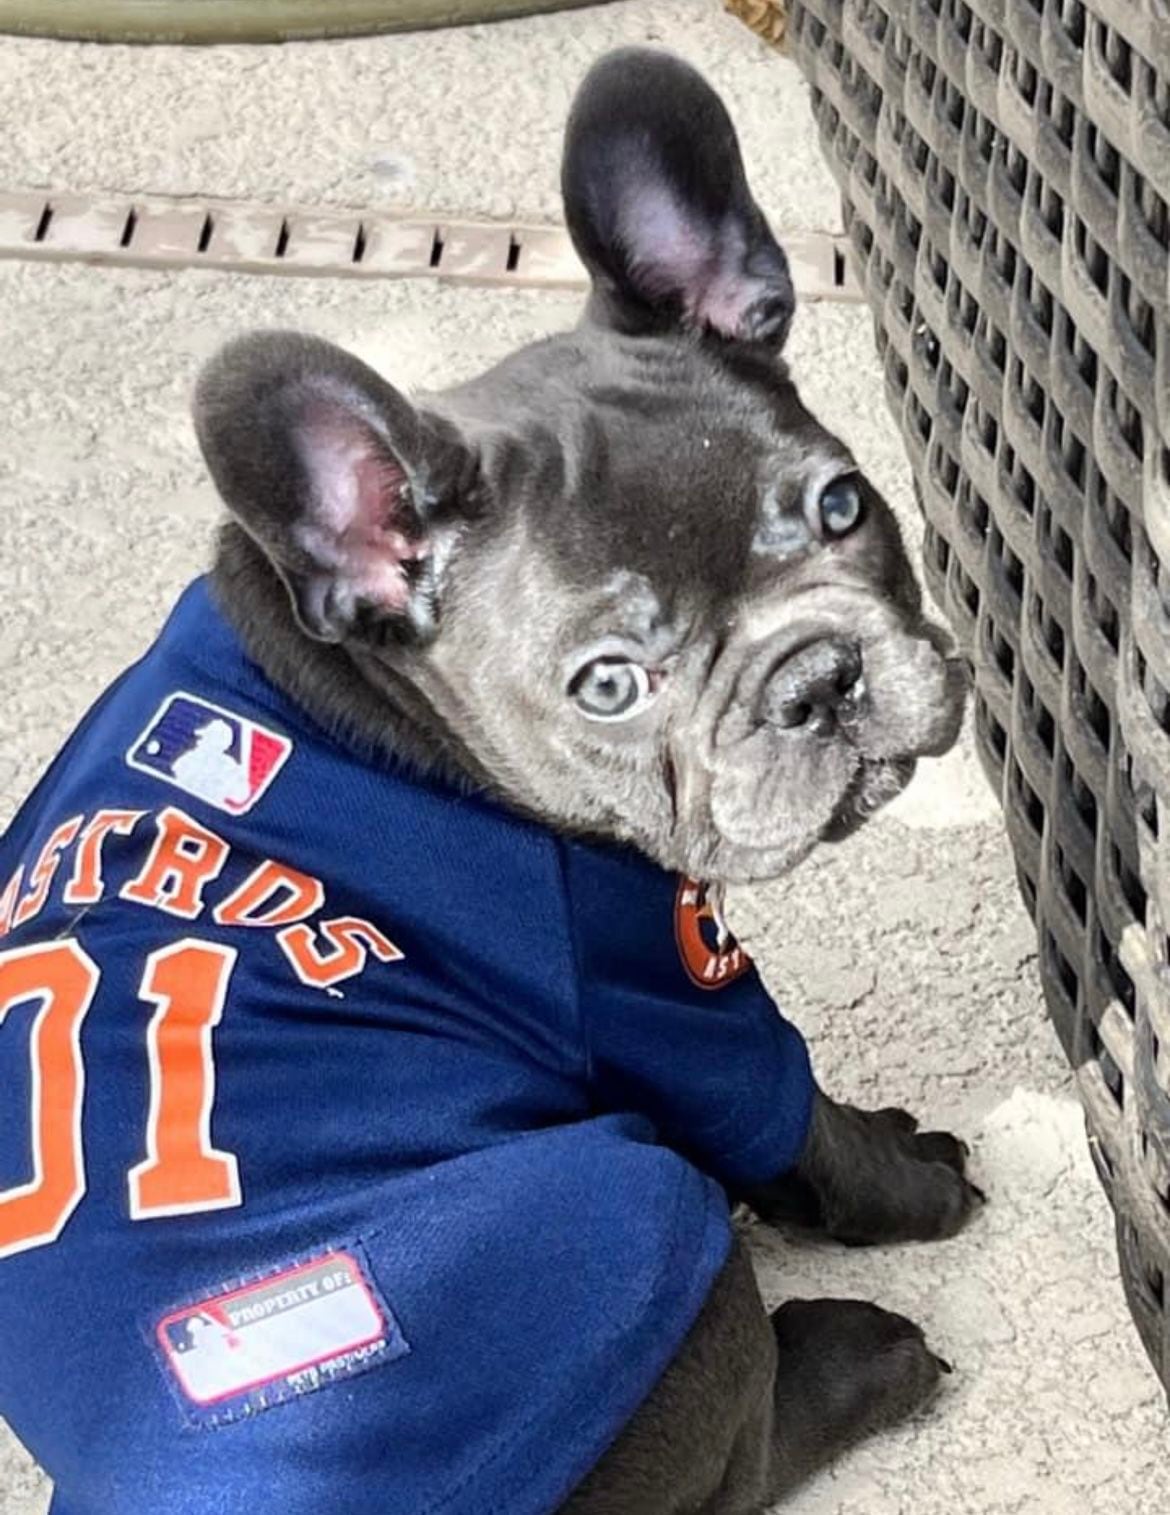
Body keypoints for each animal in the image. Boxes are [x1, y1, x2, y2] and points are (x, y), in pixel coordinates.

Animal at [197, 41, 976, 1508]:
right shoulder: (664, 995)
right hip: (648, 1228)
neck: (370, 699)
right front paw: (915, 1176)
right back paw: (861, 1359)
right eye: (608, 683)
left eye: (843, 504)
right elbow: (802, 1119)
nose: (815, 678)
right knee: (742, 1446)